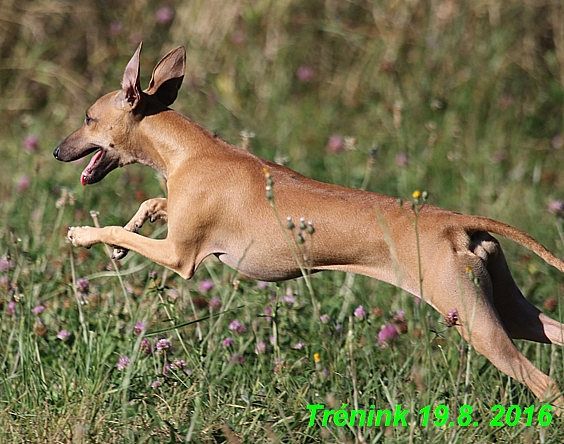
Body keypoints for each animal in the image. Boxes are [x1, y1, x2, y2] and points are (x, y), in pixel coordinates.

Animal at [56, 45, 564, 410]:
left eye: (88, 118)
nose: (59, 151)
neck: (190, 152)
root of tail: (458, 224)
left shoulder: (180, 257)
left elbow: (119, 230)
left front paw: (85, 235)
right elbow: (150, 205)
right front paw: (126, 236)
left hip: (476, 322)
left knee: (546, 384)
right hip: (508, 311)